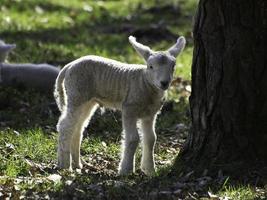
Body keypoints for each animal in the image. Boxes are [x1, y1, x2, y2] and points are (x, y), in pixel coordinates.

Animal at [54, 35, 186, 175]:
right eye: (150, 66)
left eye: (173, 66)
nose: (164, 83)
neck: (144, 82)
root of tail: (69, 65)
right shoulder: (129, 109)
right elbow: (133, 138)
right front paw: (126, 170)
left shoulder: (150, 114)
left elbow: (151, 139)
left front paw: (150, 170)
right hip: (76, 94)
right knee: (65, 126)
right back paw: (65, 165)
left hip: (87, 101)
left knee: (78, 127)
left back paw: (77, 163)